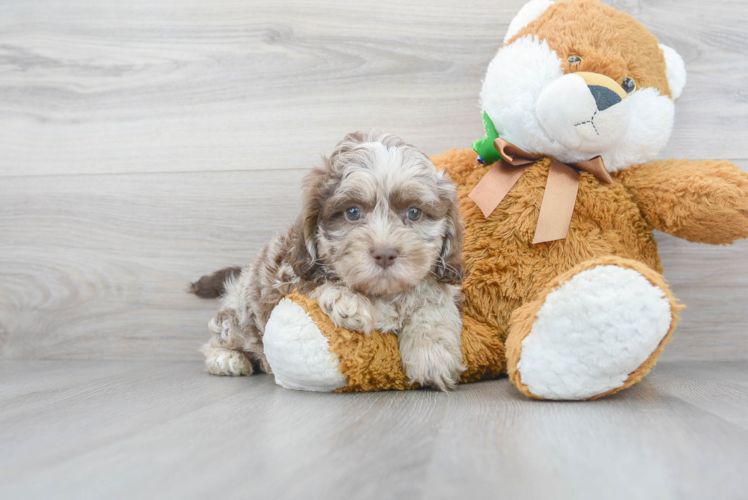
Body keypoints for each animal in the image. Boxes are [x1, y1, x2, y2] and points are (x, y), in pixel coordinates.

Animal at [199, 133, 468, 390]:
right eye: (353, 212)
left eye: (414, 213)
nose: (385, 253)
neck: (381, 293)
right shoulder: (289, 277)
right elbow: (316, 283)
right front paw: (348, 300)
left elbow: (431, 303)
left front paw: (432, 356)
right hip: (242, 312)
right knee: (223, 333)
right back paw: (227, 359)